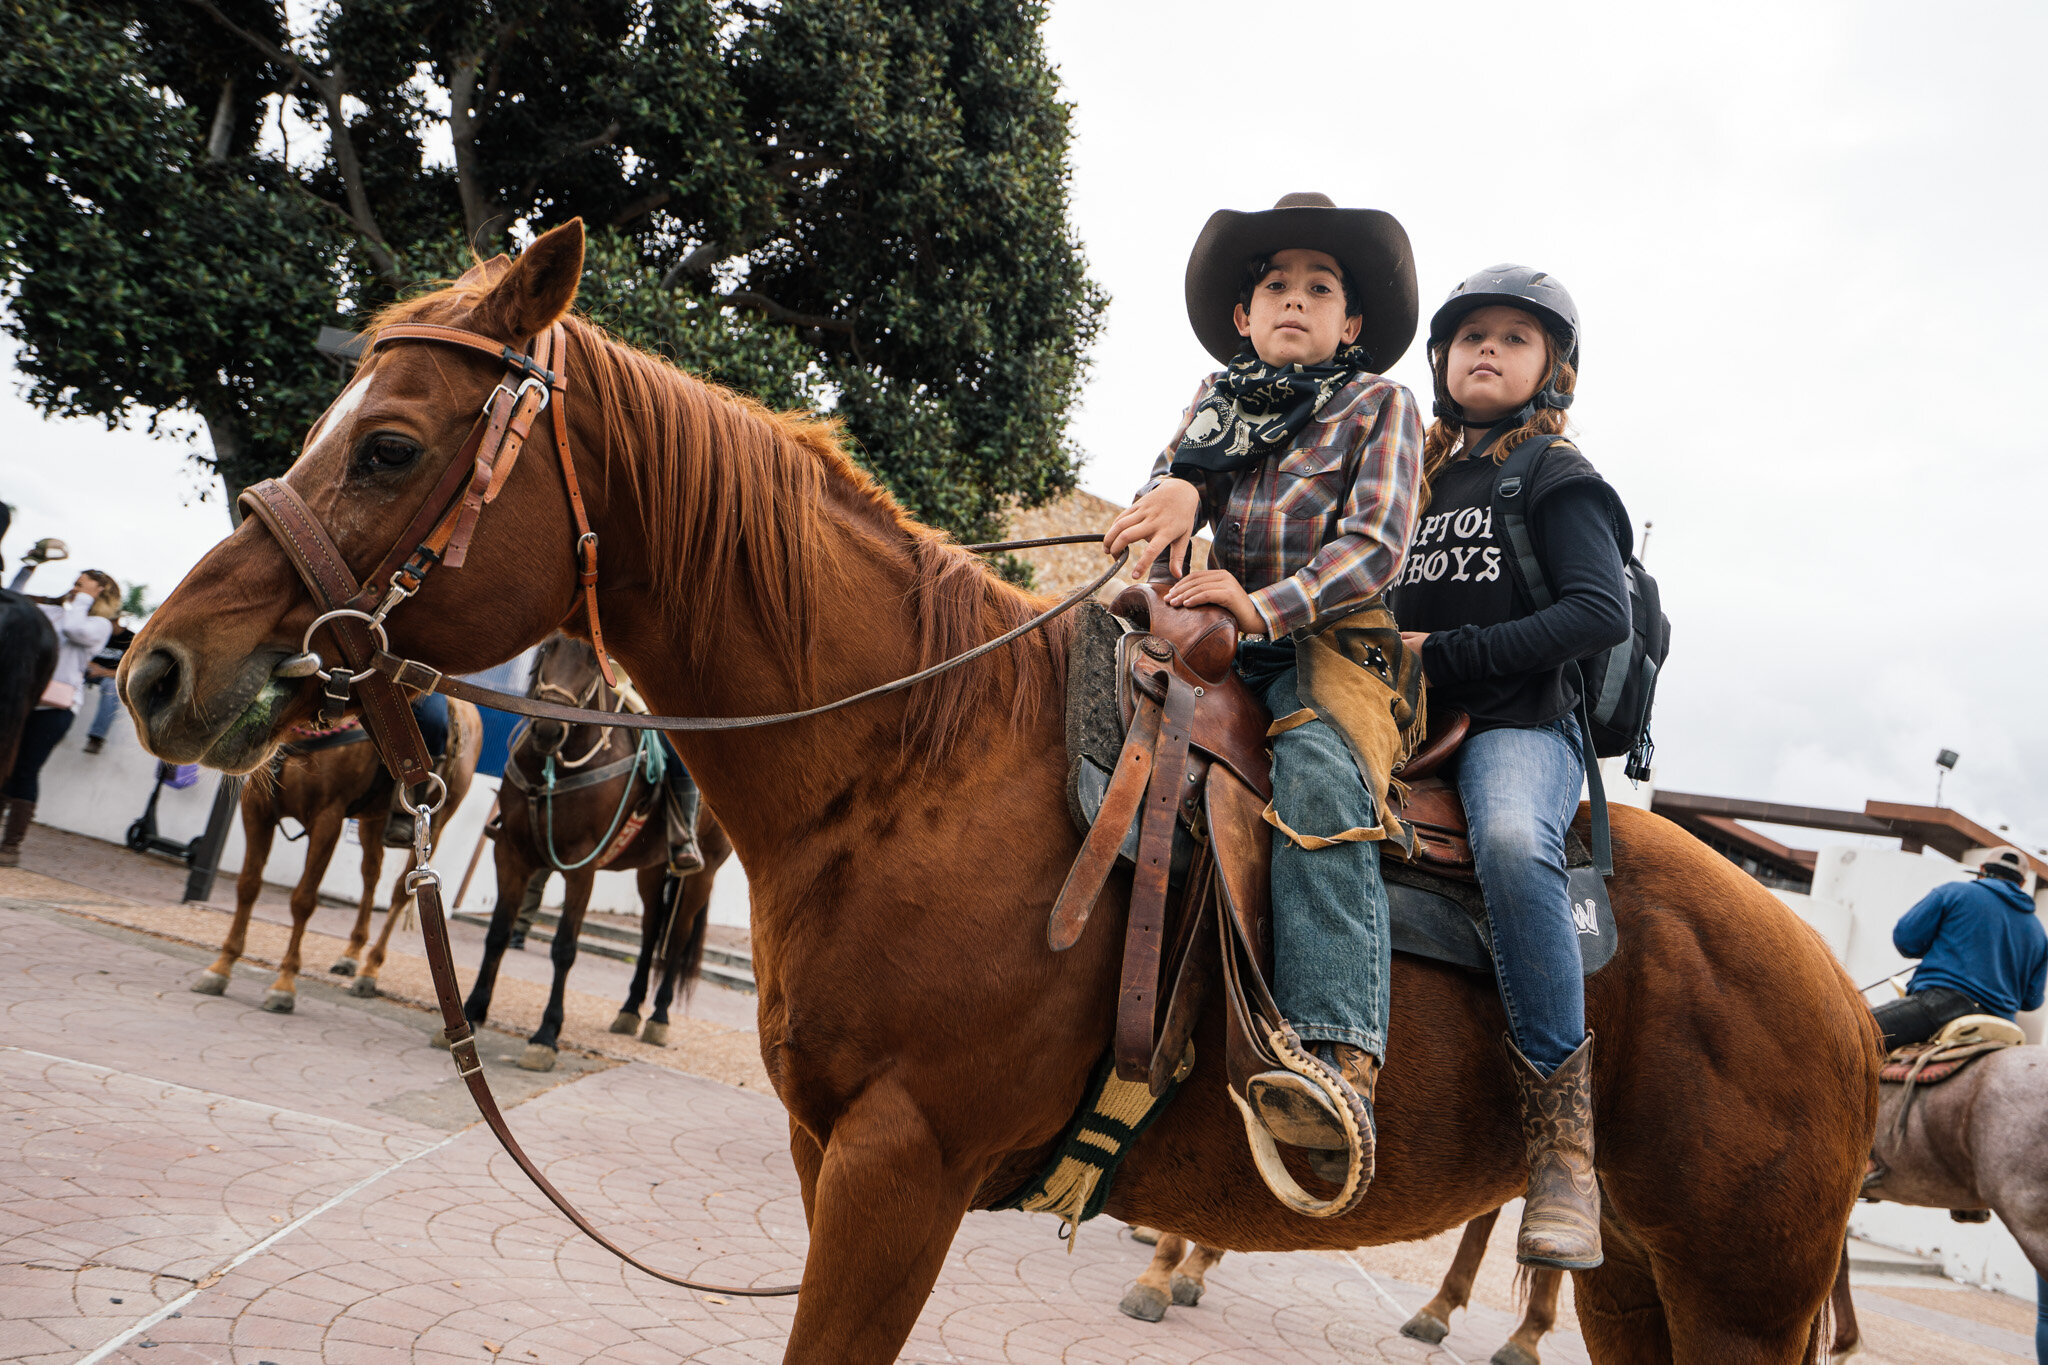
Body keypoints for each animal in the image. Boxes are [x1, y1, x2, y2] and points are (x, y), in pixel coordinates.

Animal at [123, 218, 1884, 1358]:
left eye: (393, 446)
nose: (157, 672)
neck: (914, 770)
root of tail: (1842, 995)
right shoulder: (829, 1158)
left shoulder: (899, 1174)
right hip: (1646, 1283)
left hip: (1734, 1294)